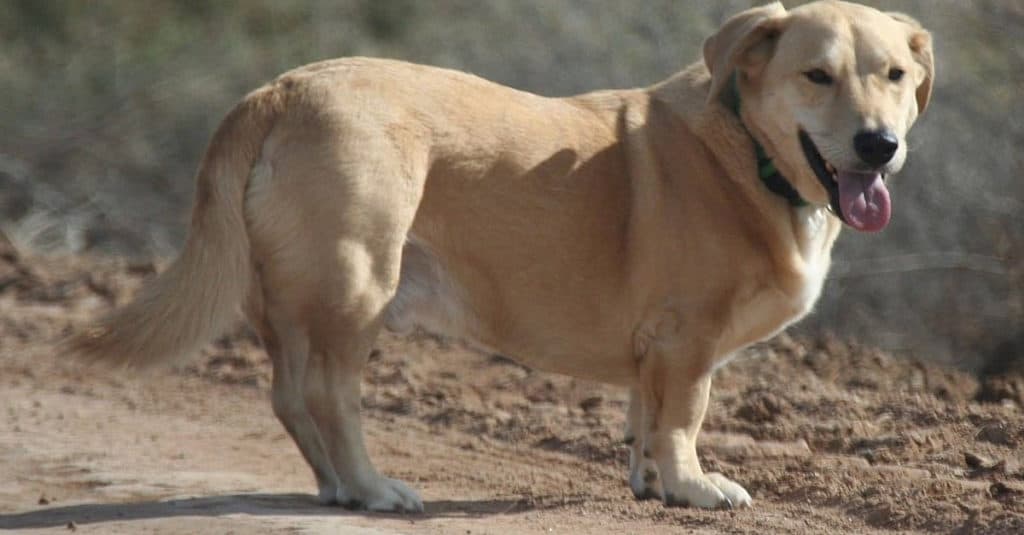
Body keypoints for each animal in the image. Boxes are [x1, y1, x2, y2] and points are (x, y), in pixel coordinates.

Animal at [68, 2, 933, 512]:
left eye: (896, 75)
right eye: (817, 75)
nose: (879, 145)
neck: (747, 150)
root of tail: (278, 90)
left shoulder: (655, 351)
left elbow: (643, 417)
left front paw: (651, 482)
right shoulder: (687, 341)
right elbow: (683, 416)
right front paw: (693, 485)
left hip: (287, 304)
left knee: (287, 398)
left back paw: (336, 489)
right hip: (358, 285)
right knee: (328, 396)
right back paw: (374, 488)